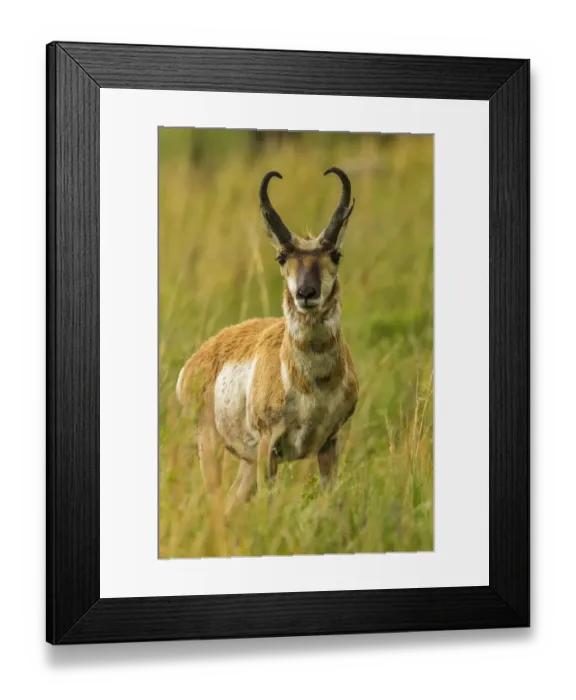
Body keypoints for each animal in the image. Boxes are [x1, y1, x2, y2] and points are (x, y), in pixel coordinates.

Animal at [176, 167, 359, 517]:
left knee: (231, 503)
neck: (311, 385)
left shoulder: (330, 443)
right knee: (216, 503)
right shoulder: (268, 447)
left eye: (335, 254)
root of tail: (196, 359)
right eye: (282, 256)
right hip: (213, 448)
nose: (306, 293)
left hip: (246, 464)